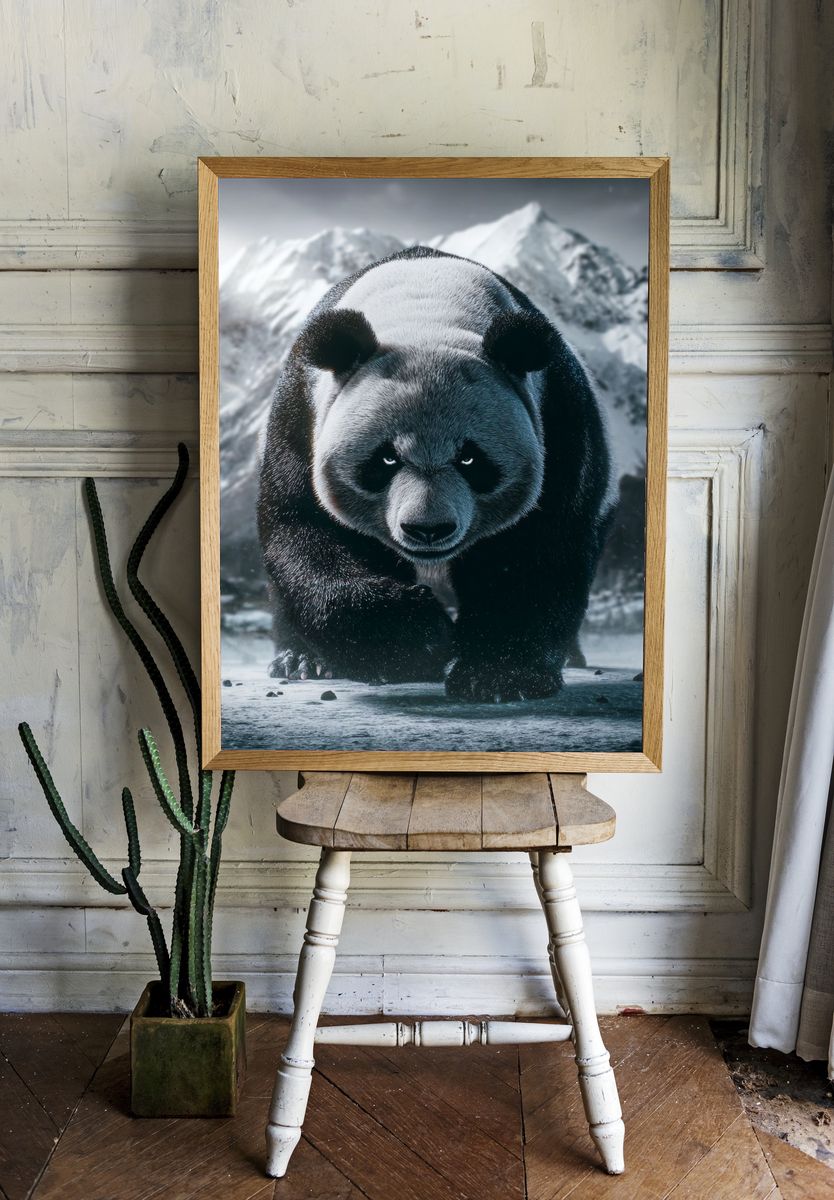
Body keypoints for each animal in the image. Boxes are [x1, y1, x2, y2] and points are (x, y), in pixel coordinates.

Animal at [257, 246, 611, 703]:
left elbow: (539, 547)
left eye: (470, 460)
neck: (425, 312)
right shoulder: (303, 413)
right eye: (386, 460)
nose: (428, 529)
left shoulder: (556, 413)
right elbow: (307, 532)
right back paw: (299, 660)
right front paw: (418, 639)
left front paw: (498, 675)